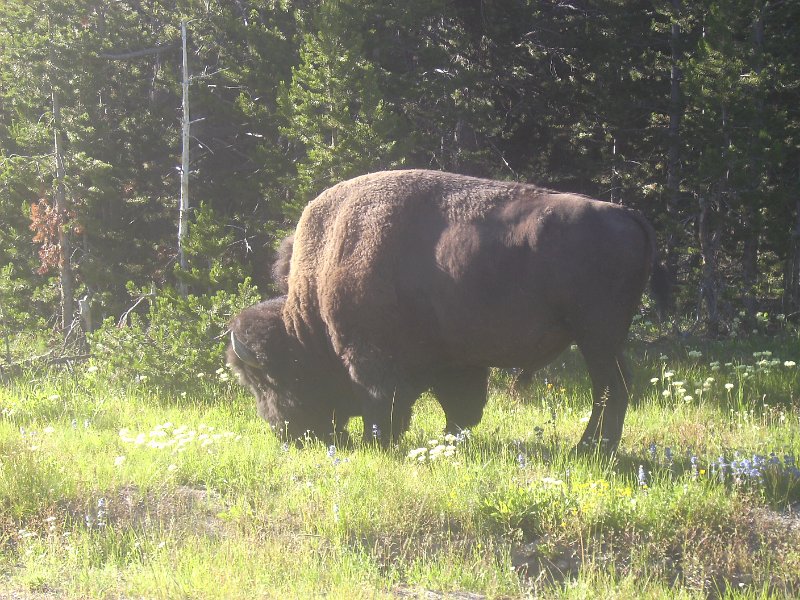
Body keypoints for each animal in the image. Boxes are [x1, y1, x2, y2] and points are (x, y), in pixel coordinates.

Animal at [227, 169, 668, 450]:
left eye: (266, 381)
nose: (285, 434)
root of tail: (629, 215)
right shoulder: (457, 361)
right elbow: (461, 406)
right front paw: (451, 439)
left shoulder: (370, 359)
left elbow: (383, 404)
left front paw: (378, 443)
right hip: (605, 340)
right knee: (614, 387)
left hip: (596, 338)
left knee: (609, 388)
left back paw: (591, 449)